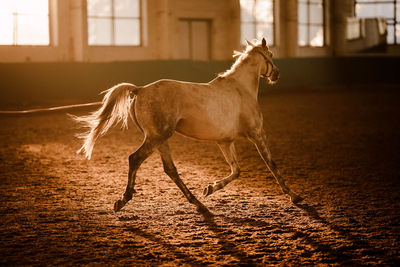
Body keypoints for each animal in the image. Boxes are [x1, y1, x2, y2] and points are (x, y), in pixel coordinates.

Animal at [72, 37, 304, 215]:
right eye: (270, 55)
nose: (276, 74)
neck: (241, 89)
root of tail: (140, 89)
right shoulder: (257, 134)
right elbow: (271, 164)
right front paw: (294, 196)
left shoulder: (225, 141)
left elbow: (236, 170)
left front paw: (210, 188)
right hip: (156, 137)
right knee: (135, 159)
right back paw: (124, 199)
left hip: (160, 139)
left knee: (170, 169)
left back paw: (199, 204)